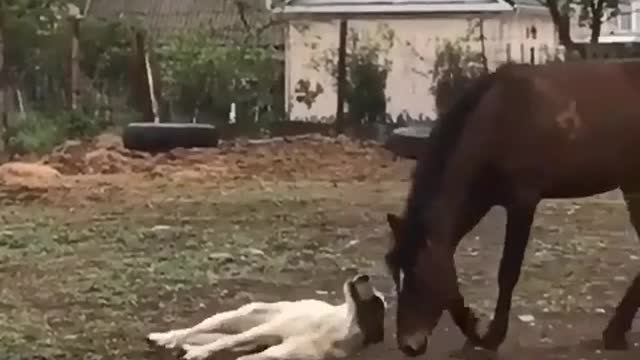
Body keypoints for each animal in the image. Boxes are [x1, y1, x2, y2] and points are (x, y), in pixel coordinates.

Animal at [382, 60, 640, 356]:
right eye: (394, 270)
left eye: (420, 274)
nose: (408, 345)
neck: (496, 119)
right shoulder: (479, 200)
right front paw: (474, 329)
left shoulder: (523, 201)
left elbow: (507, 272)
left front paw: (492, 336)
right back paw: (615, 332)